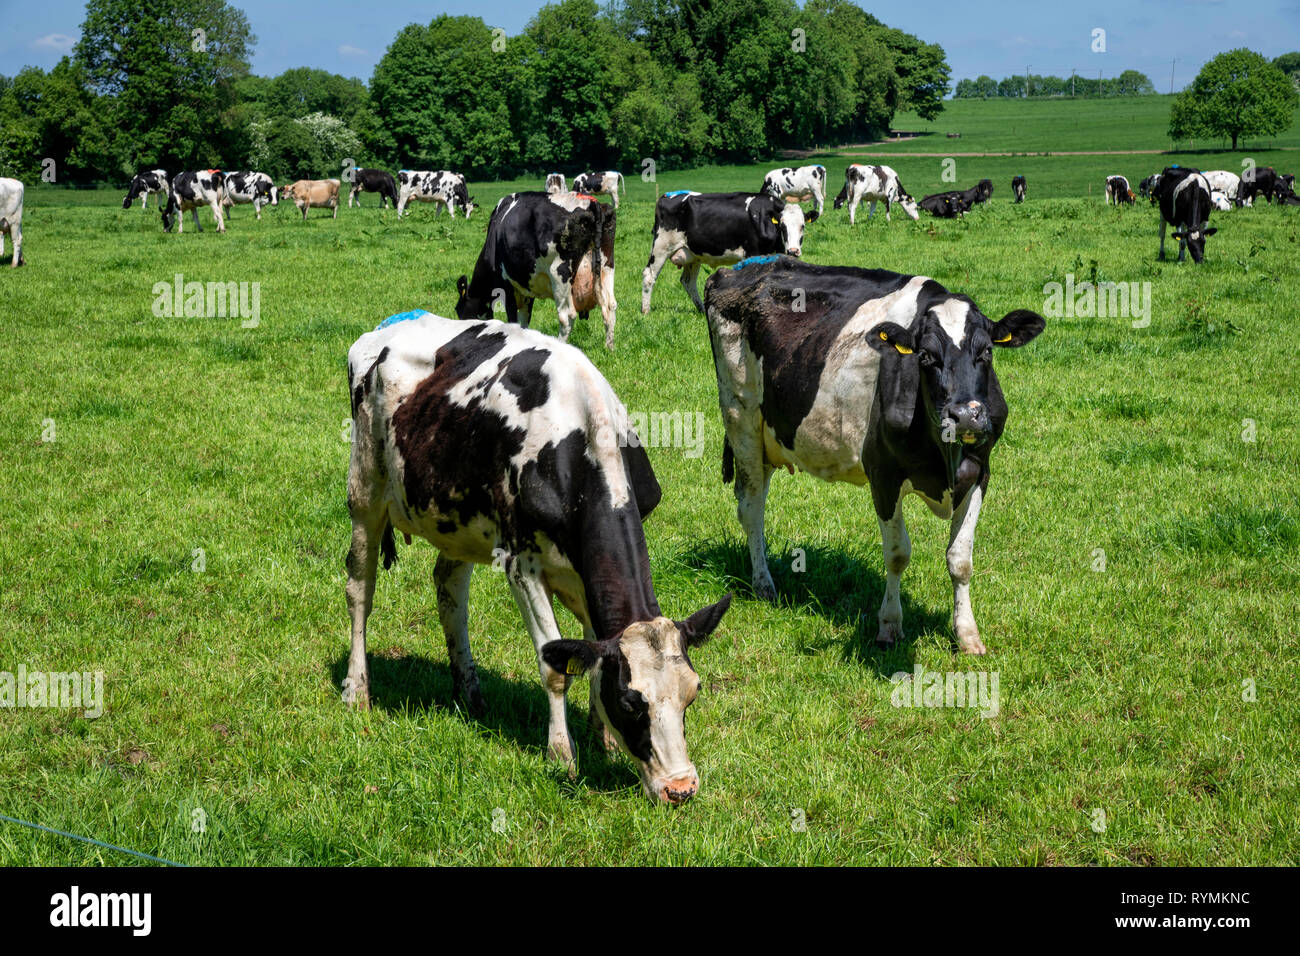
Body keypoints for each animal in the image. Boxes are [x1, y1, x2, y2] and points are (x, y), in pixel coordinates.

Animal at [344, 311, 732, 803]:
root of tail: (384, 329)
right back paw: (356, 691)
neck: (579, 439)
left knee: (450, 592)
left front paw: (603, 741)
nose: (680, 789)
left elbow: (591, 652)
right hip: (365, 490)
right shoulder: (521, 566)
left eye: (692, 693)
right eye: (631, 703)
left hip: (456, 519)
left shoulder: (583, 573)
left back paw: (470, 693)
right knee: (360, 589)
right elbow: (555, 668)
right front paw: (562, 755)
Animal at [455, 191, 617, 349]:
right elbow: (524, 320)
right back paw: (609, 349)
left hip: (559, 274)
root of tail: (590, 203)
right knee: (610, 307)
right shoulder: (526, 288)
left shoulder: (506, 285)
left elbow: (513, 319)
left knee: (566, 316)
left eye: (459, 312)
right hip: (606, 267)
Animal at [641, 190, 810, 314]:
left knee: (688, 282)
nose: (793, 251)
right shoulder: (753, 253)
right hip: (661, 246)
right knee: (649, 275)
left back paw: (702, 310)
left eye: (802, 226)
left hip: (693, 255)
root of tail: (666, 196)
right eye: (782, 226)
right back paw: (646, 311)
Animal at [702, 256, 1045, 655]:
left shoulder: (979, 471)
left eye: (986, 351)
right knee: (751, 506)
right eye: (925, 356)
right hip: (740, 417)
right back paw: (764, 586)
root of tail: (743, 266)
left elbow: (960, 559)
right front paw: (889, 627)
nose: (965, 416)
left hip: (770, 433)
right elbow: (897, 554)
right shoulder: (883, 475)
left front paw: (967, 634)